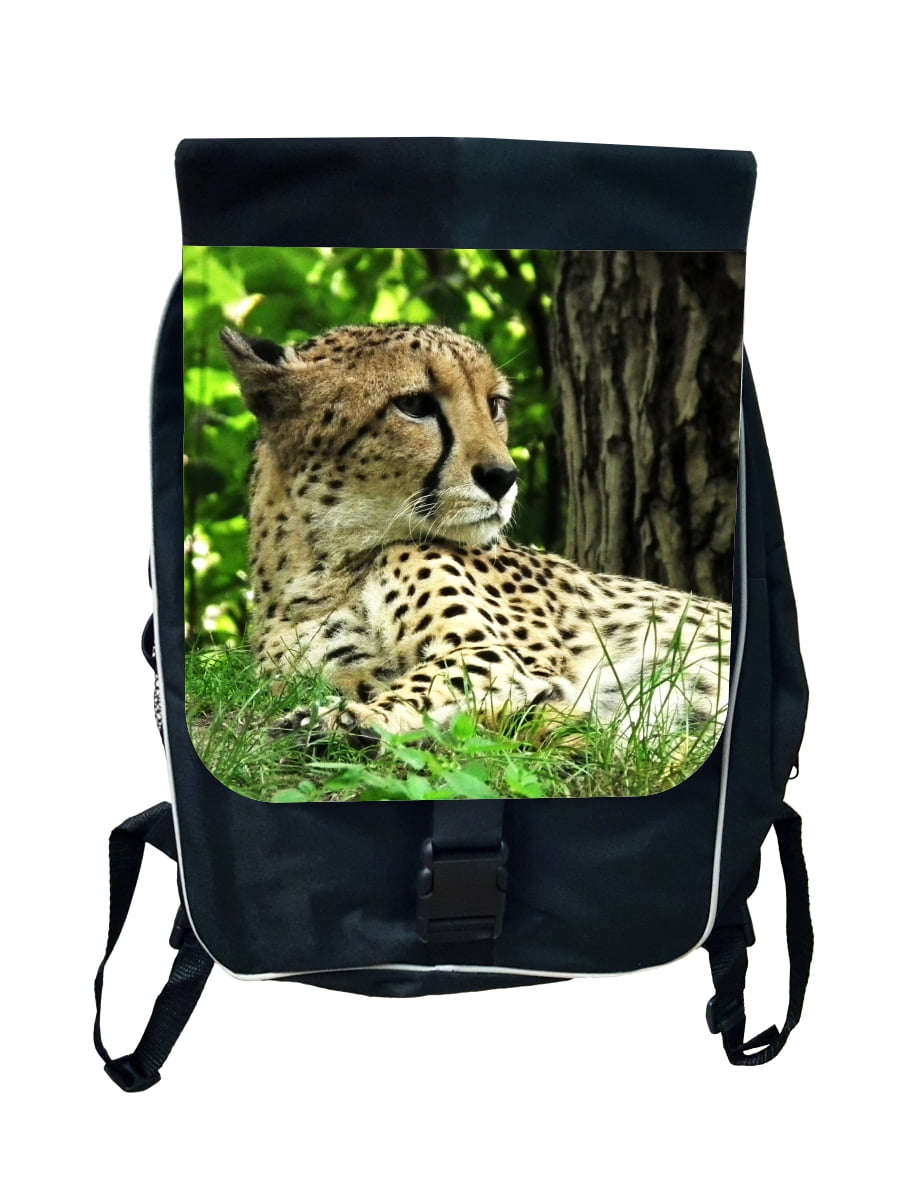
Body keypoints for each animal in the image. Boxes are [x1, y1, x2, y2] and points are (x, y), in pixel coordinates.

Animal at [220, 322, 731, 749]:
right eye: (415, 405)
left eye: (495, 406)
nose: (504, 477)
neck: (321, 566)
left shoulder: (500, 656)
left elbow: (429, 685)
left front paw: (342, 721)